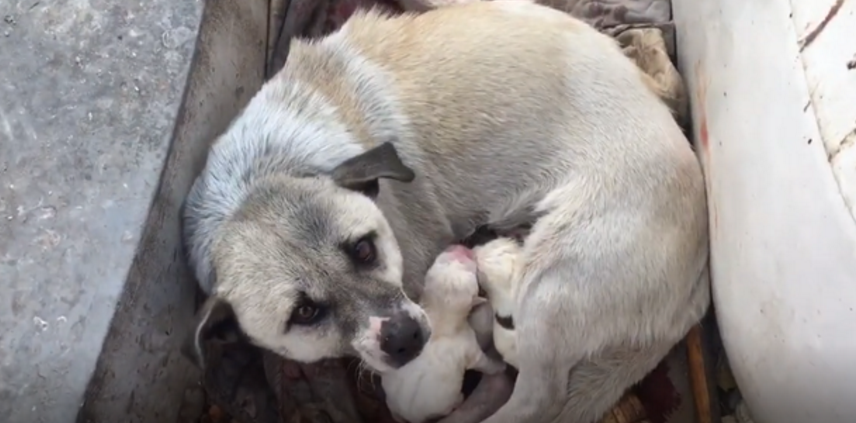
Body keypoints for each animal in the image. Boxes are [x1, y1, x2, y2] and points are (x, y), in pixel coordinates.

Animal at [382, 245, 508, 423]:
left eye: (441, 261)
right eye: (470, 270)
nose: (461, 248)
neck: (439, 315)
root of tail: (407, 416)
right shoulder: (469, 349)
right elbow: (484, 362)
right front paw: (499, 366)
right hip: (443, 405)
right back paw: (460, 399)